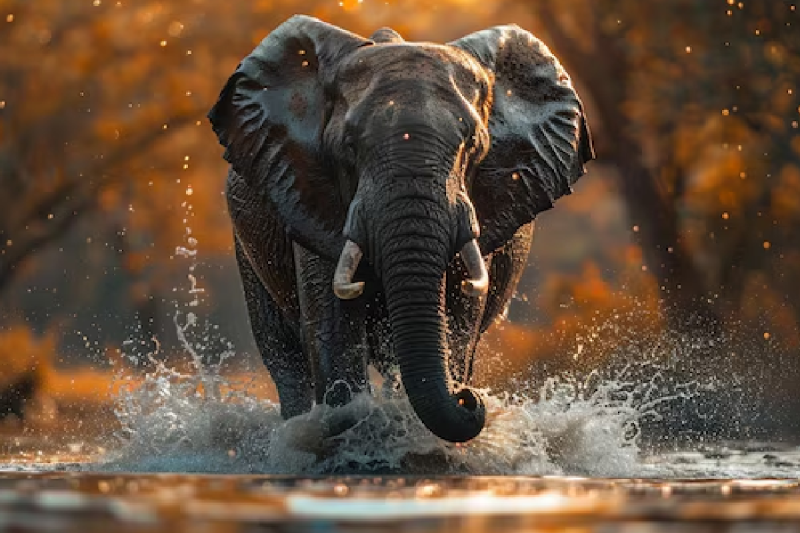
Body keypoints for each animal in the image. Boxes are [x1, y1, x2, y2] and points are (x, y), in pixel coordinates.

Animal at [208, 15, 594, 443]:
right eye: (348, 146)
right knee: (284, 359)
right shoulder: (311, 191)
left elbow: (459, 317)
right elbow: (332, 322)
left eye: (472, 145)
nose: (470, 399)